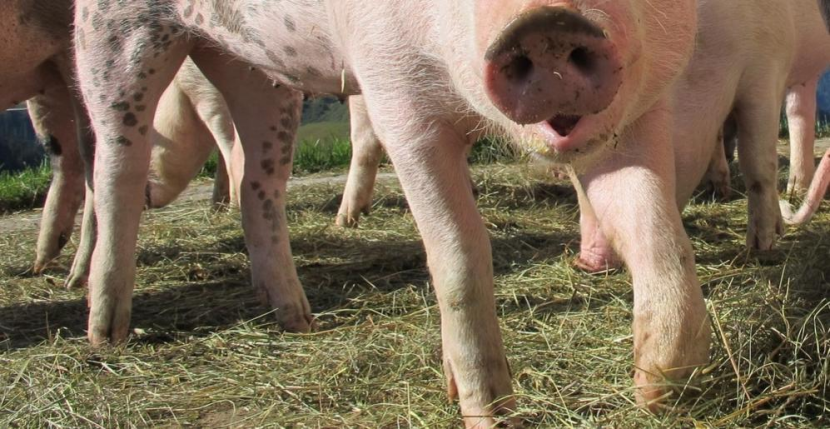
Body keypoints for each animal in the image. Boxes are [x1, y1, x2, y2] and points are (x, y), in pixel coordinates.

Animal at [73, 0, 701, 423]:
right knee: (114, 168)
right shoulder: (394, 96)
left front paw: (660, 392)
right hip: (114, 36)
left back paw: (298, 320)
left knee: (259, 181)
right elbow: (459, 256)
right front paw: (491, 413)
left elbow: (660, 235)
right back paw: (106, 336)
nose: (549, 24)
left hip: (255, 69)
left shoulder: (640, 106)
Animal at [575, 0, 830, 275]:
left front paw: (761, 247)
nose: (585, 261)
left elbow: (757, 161)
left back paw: (795, 193)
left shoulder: (766, 68)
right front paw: (719, 191)